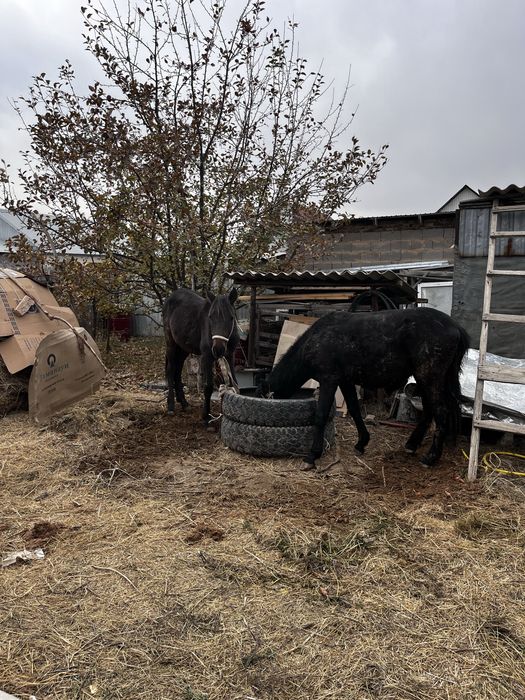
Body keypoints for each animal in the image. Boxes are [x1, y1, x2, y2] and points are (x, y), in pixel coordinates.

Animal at [162, 287, 239, 423]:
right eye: (211, 317)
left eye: (231, 318)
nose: (218, 349)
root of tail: (170, 297)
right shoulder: (207, 357)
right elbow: (208, 387)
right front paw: (206, 417)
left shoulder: (230, 356)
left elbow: (232, 383)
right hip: (171, 344)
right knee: (171, 370)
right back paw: (171, 405)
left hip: (183, 348)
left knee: (177, 371)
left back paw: (184, 403)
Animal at [268, 307, 470, 468]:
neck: (317, 338)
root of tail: (455, 327)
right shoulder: (345, 381)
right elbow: (354, 409)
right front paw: (361, 442)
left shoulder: (329, 380)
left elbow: (321, 415)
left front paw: (312, 455)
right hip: (429, 380)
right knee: (429, 411)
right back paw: (412, 445)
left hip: (430, 378)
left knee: (440, 411)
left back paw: (431, 457)